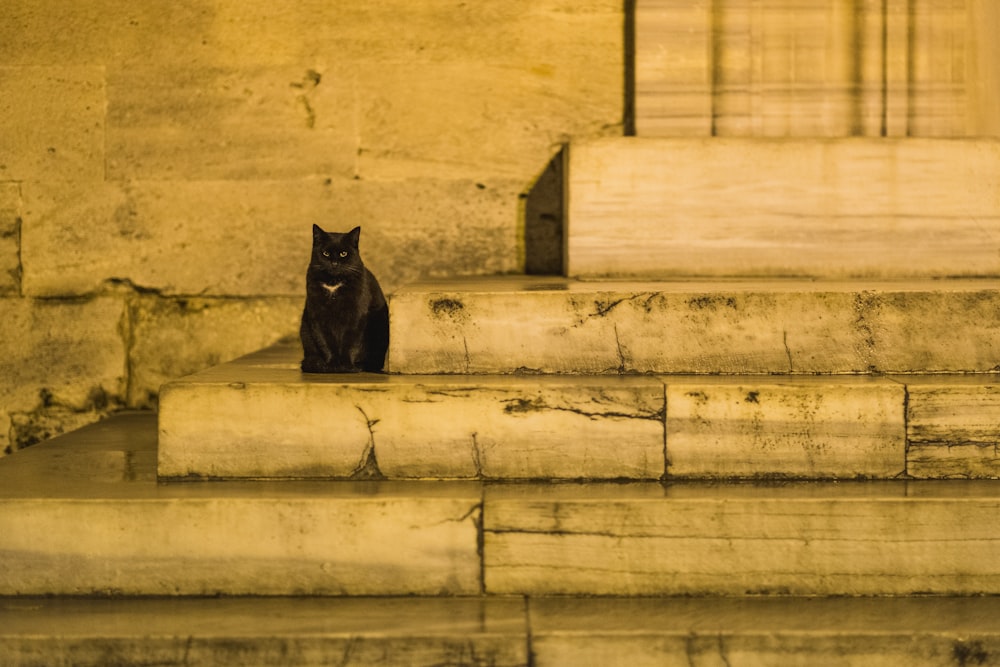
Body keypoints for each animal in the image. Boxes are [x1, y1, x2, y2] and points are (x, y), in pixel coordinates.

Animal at [298, 223, 388, 370]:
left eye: (343, 253)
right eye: (326, 253)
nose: (334, 263)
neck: (333, 283)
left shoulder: (356, 316)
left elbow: (350, 342)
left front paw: (346, 365)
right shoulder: (318, 316)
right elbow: (325, 341)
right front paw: (332, 364)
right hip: (305, 329)